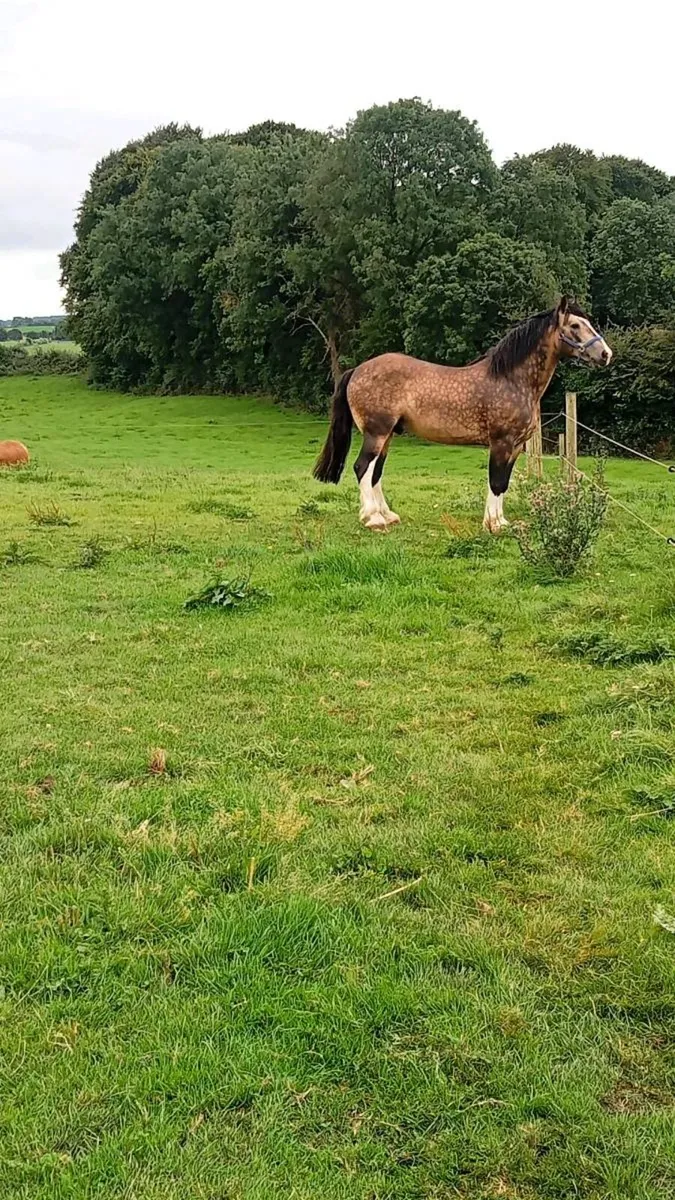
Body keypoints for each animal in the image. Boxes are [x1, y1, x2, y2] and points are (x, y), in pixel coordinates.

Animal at [313, 297, 612, 532]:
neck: (512, 380)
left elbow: (503, 483)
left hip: (385, 436)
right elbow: (495, 481)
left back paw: (387, 515)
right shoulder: (501, 443)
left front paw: (501, 522)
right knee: (362, 468)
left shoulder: (516, 447)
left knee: (375, 472)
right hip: (376, 433)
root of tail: (357, 370)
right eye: (575, 326)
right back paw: (373, 519)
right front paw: (492, 525)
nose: (606, 354)